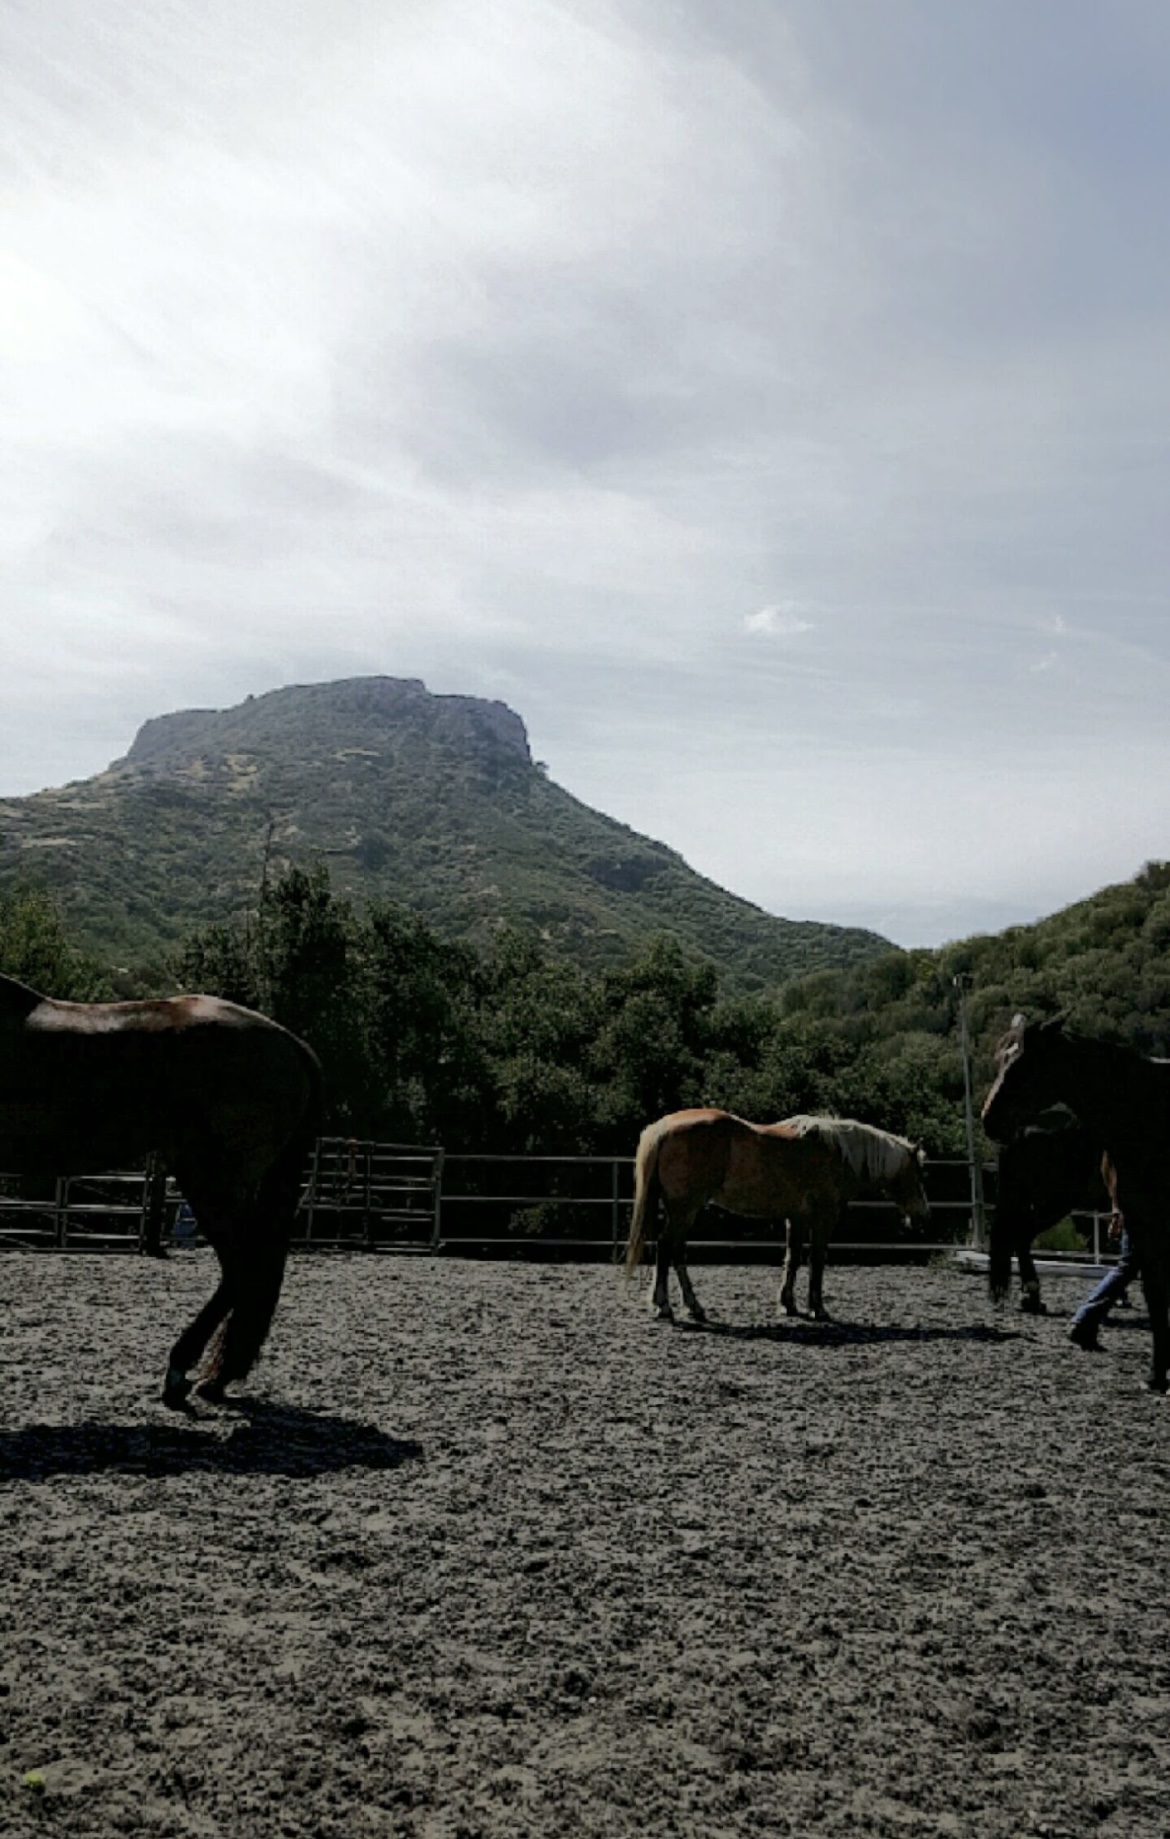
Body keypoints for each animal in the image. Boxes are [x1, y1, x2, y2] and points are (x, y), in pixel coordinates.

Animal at [625, 1108, 929, 1323]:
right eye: (918, 1173)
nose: (922, 1216)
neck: (835, 1154)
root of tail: (663, 1128)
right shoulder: (823, 1219)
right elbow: (817, 1261)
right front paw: (818, 1309)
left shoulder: (796, 1218)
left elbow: (792, 1259)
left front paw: (788, 1305)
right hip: (684, 1208)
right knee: (667, 1248)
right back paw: (665, 1306)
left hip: (682, 1211)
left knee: (675, 1251)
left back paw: (692, 1307)